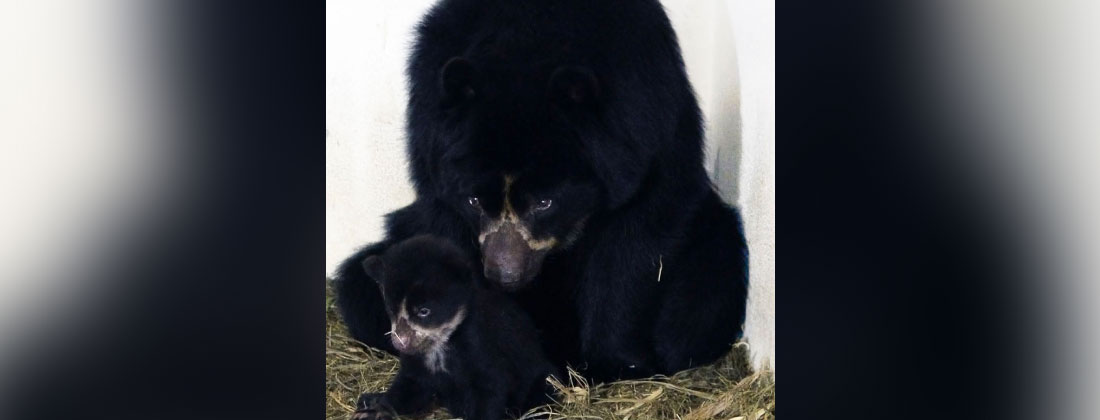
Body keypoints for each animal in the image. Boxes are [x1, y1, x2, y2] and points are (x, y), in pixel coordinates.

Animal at [335, 0, 748, 382]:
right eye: (473, 201)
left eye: (545, 203)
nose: (504, 275)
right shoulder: (429, 139)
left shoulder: (649, 126)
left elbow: (639, 238)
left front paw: (616, 362)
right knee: (356, 285)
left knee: (697, 308)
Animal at [351, 235, 559, 420]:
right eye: (390, 308)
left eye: (424, 311)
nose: (400, 343)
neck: (442, 344)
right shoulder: (417, 362)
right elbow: (410, 388)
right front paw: (374, 408)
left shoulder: (482, 349)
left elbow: (490, 391)